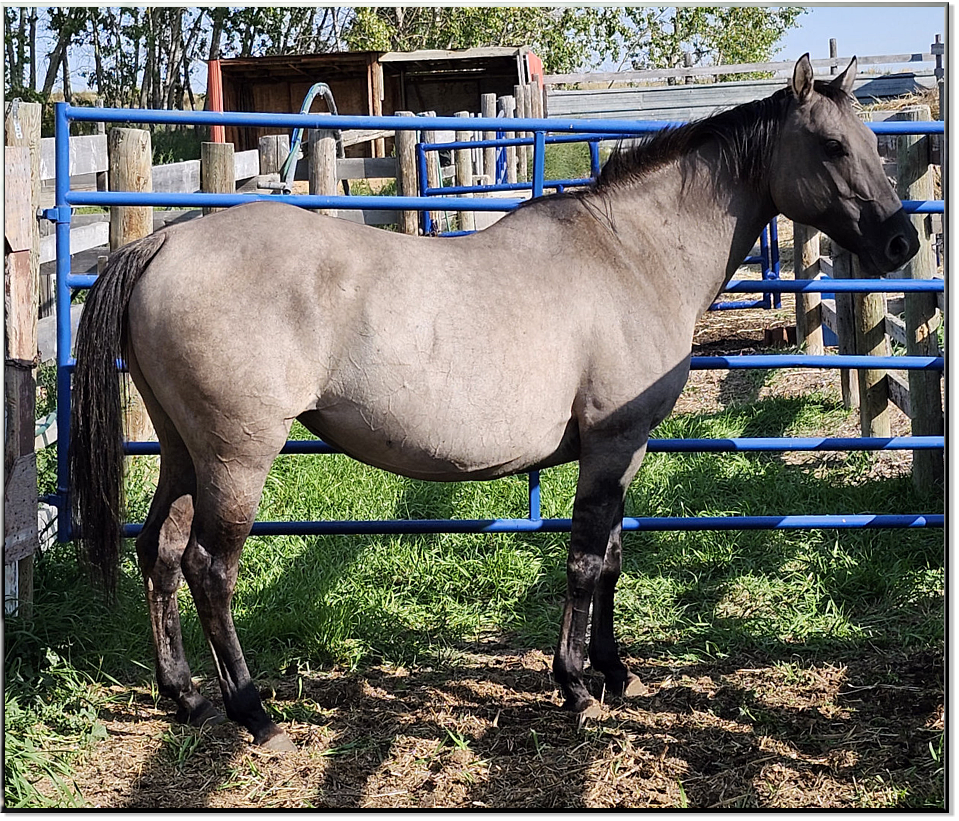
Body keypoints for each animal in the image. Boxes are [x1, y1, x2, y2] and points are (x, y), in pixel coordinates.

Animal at [70, 55, 918, 750]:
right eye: (832, 147)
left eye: (868, 140)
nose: (900, 243)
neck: (630, 253)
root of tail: (165, 244)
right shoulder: (610, 446)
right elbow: (583, 561)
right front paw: (574, 685)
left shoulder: (626, 449)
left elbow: (612, 558)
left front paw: (613, 671)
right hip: (237, 457)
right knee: (210, 568)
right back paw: (253, 713)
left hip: (184, 452)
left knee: (160, 553)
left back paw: (184, 696)